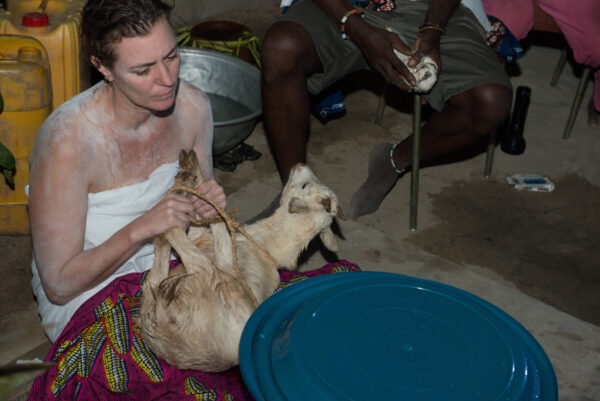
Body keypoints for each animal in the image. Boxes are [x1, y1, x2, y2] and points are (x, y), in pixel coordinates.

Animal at [137, 150, 342, 372]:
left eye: (304, 186)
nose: (300, 164)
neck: (262, 242)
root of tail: (162, 325)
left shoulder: (225, 258)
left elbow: (216, 217)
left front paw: (193, 177)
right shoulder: (201, 238)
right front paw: (190, 177)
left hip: (211, 276)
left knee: (174, 238)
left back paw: (171, 203)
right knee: (155, 273)